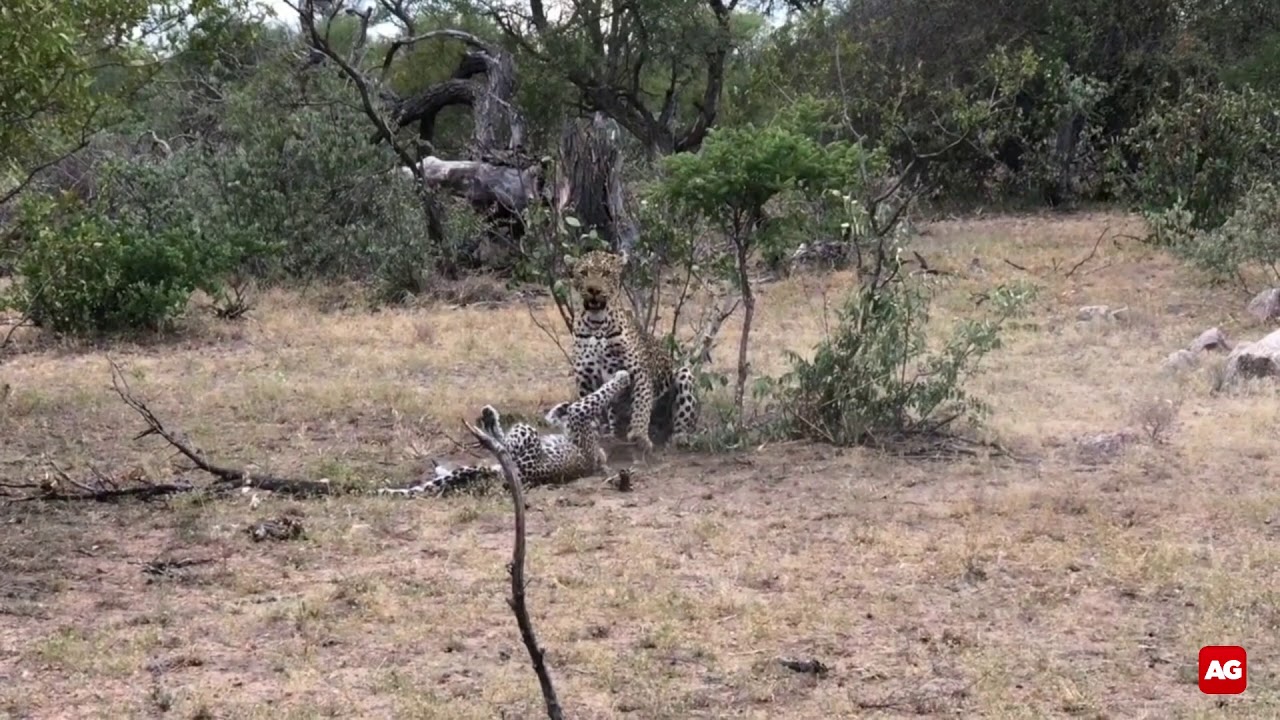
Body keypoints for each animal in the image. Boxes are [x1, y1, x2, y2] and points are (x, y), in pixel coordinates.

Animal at [378, 369, 631, 497]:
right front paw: (560, 408)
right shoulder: (577, 419)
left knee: (502, 444)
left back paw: (489, 418)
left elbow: (597, 396)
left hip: (525, 433)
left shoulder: (580, 416)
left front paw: (623, 375)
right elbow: (571, 409)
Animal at [563, 248, 699, 452]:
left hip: (684, 374)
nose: (594, 290)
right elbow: (587, 408)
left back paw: (678, 438)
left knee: (682, 420)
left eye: (606, 273)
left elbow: (641, 406)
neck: (597, 323)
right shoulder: (585, 378)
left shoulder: (638, 372)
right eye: (584, 273)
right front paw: (590, 438)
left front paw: (639, 436)